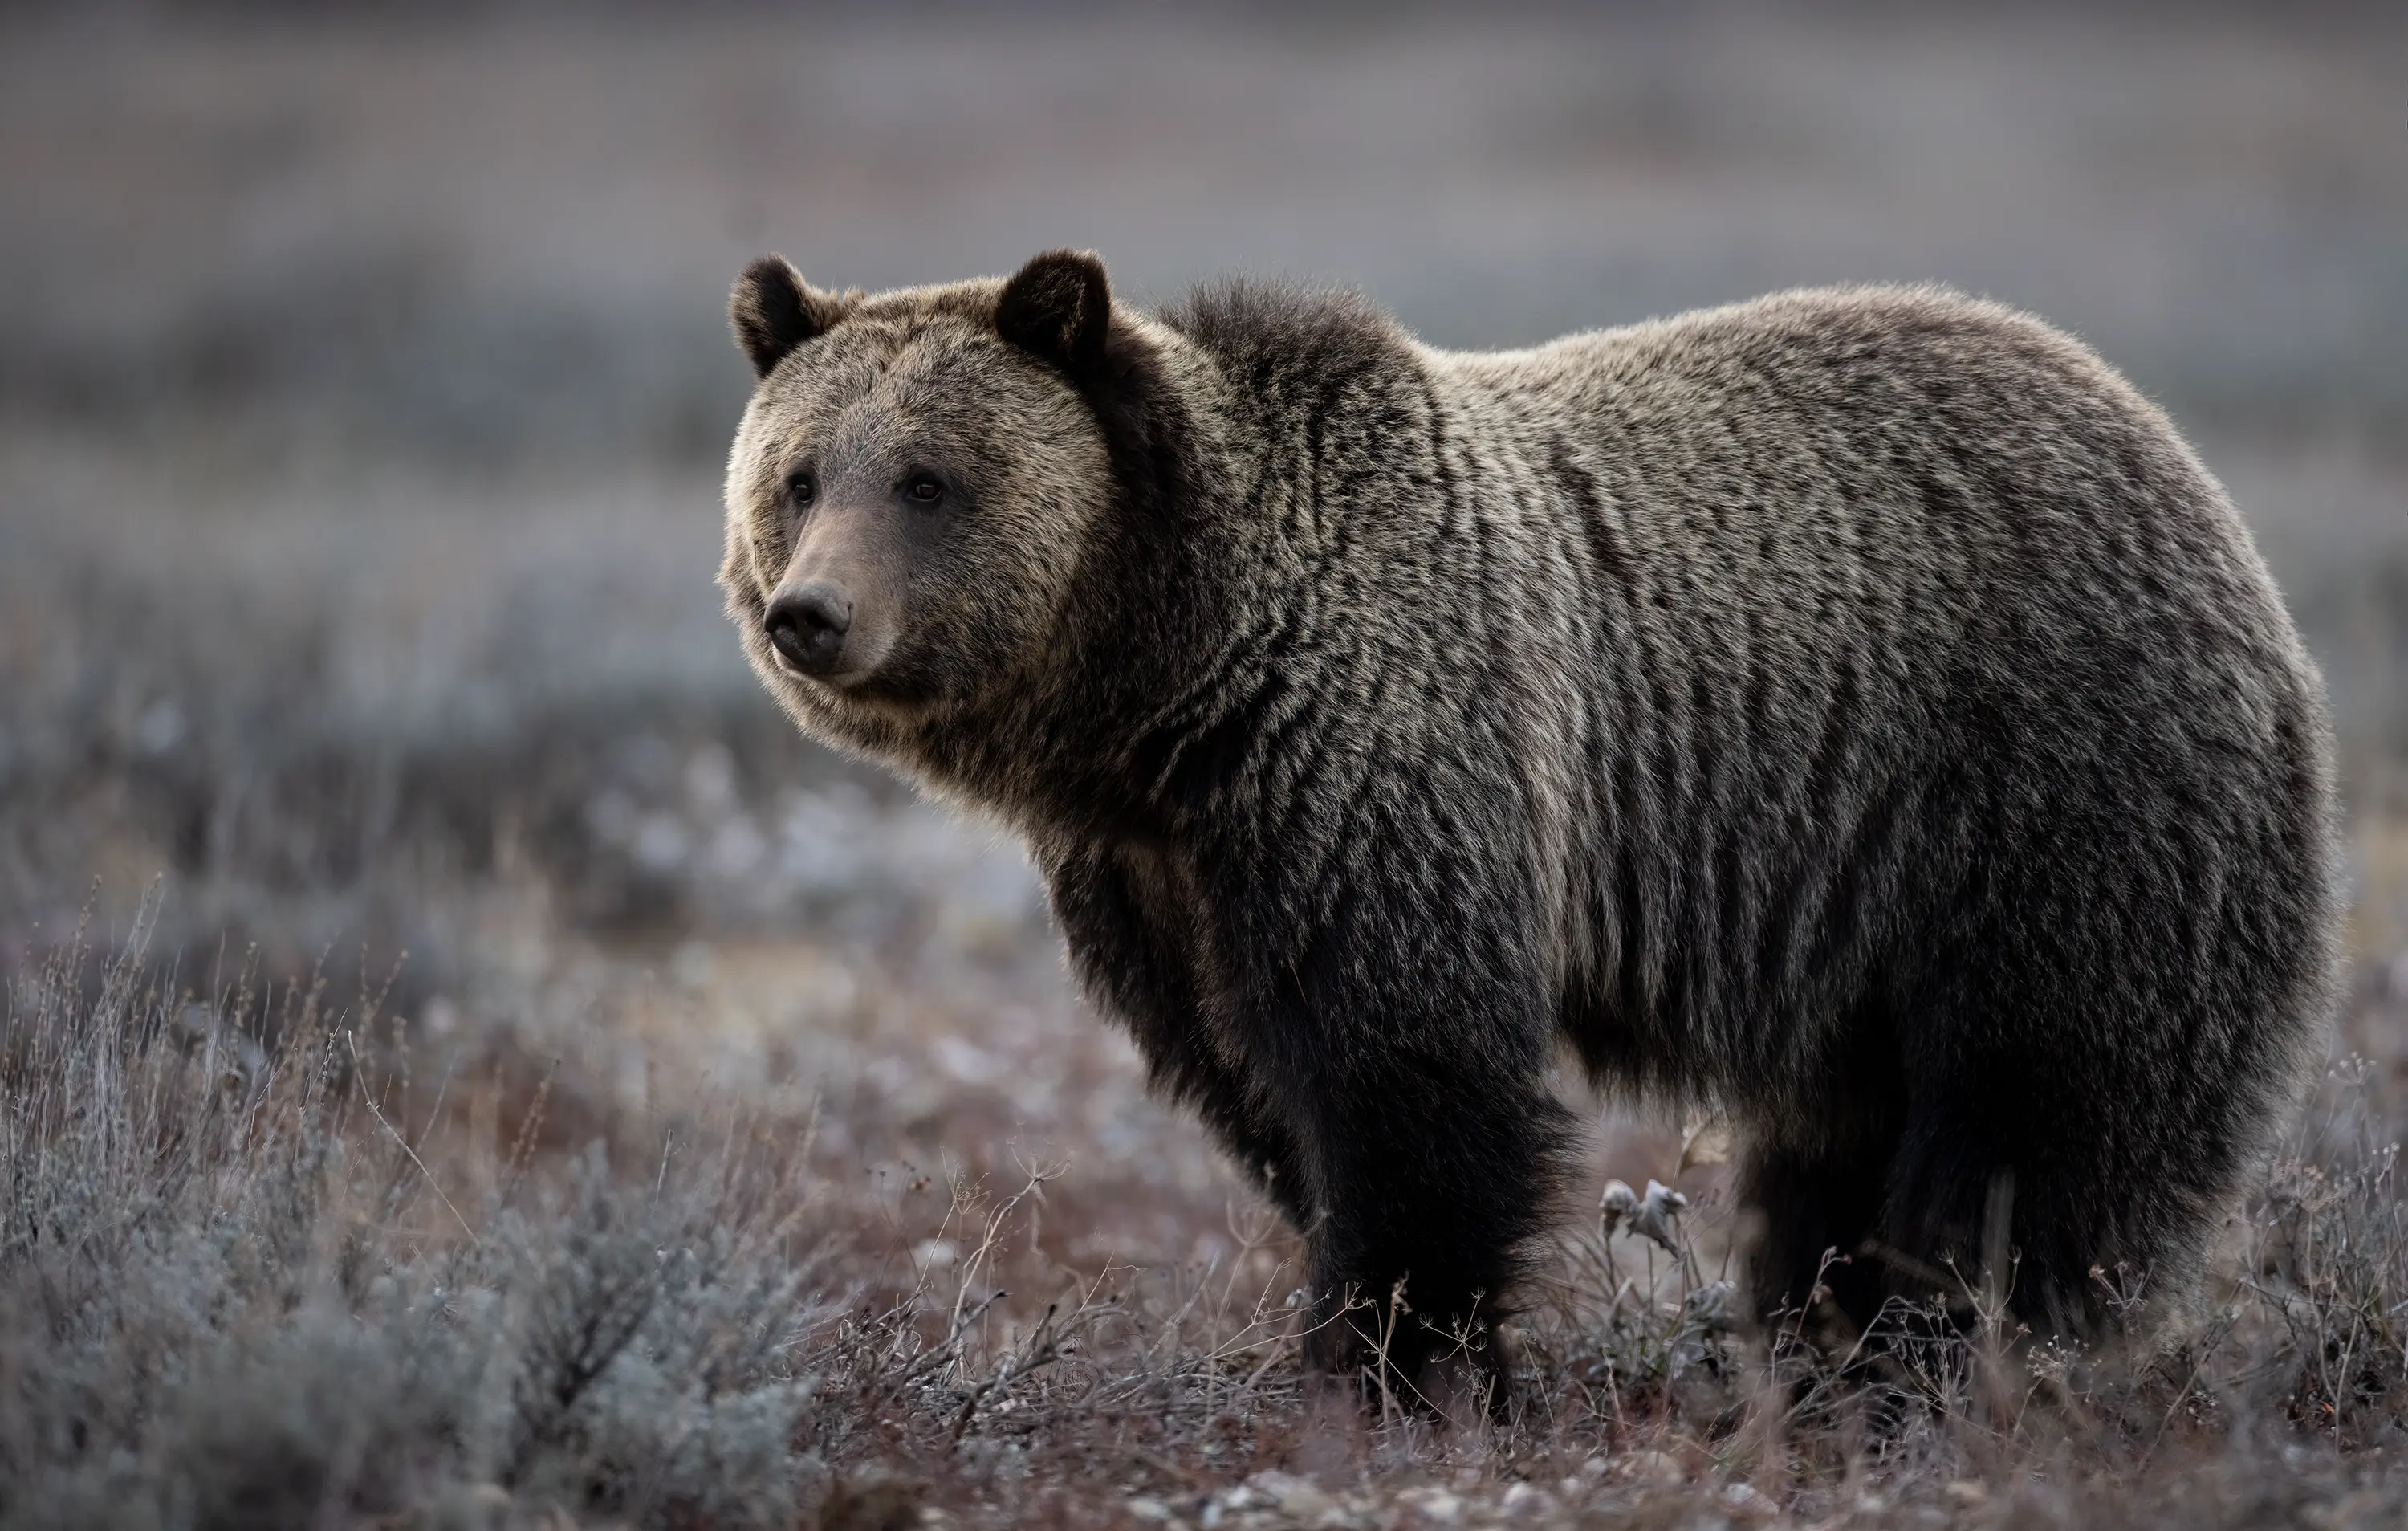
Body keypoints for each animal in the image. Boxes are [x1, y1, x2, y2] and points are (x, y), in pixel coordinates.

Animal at [719, 248, 2339, 1388]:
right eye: (797, 475)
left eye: (928, 477)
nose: (813, 614)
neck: (1176, 682)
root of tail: (2194, 480)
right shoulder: (1161, 872)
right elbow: (1261, 1091)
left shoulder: (1385, 755)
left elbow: (1414, 1083)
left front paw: (1397, 1359)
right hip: (1864, 914)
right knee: (1840, 1139)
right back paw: (1819, 1331)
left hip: (2051, 793)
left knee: (2043, 1115)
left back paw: (1944, 1341)